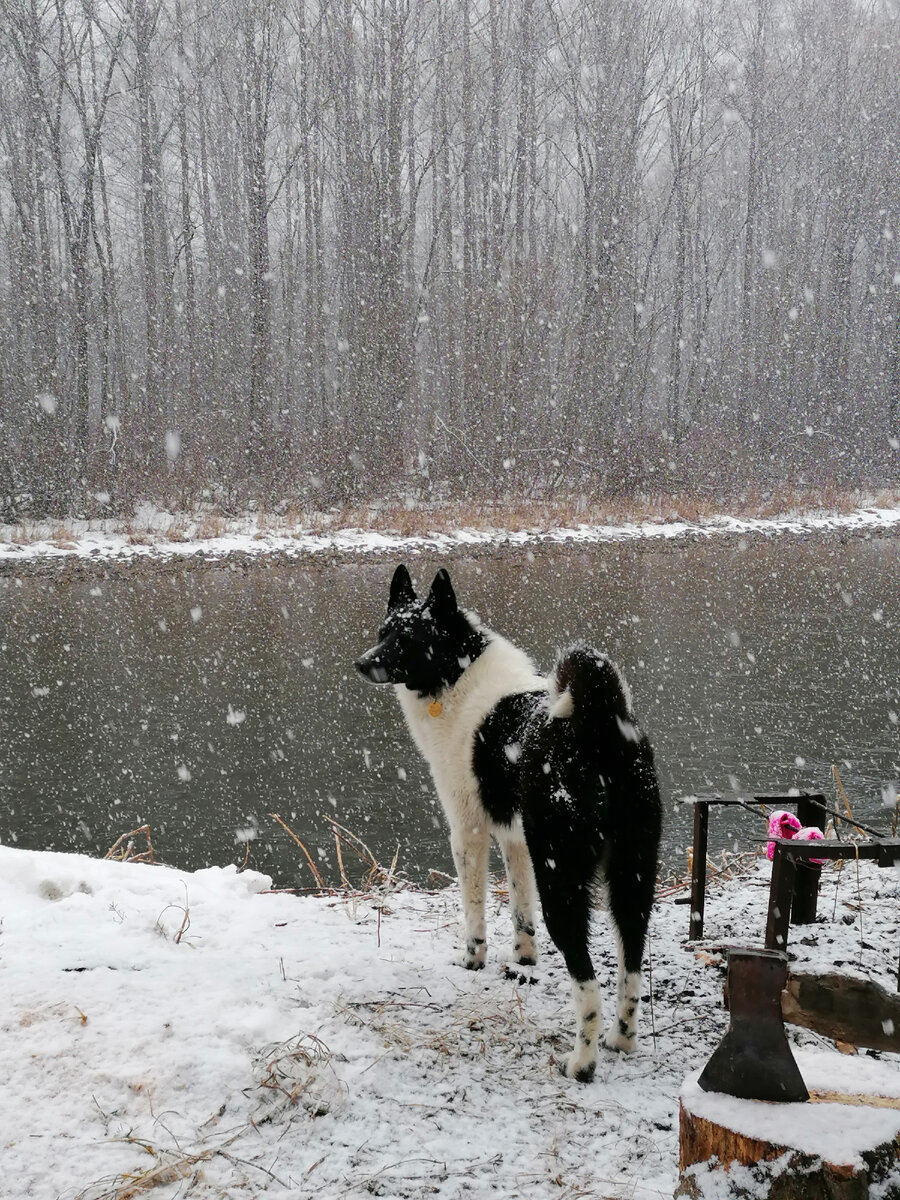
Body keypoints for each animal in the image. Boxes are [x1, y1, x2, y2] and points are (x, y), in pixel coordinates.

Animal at [355, 566, 662, 1084]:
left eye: (409, 639)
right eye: (383, 633)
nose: (362, 663)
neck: (457, 674)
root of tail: (596, 726)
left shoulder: (469, 832)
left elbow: (474, 909)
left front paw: (473, 959)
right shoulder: (515, 841)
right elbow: (521, 908)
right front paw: (523, 958)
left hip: (563, 877)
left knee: (588, 985)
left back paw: (581, 1062)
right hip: (632, 877)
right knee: (632, 966)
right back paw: (621, 1040)